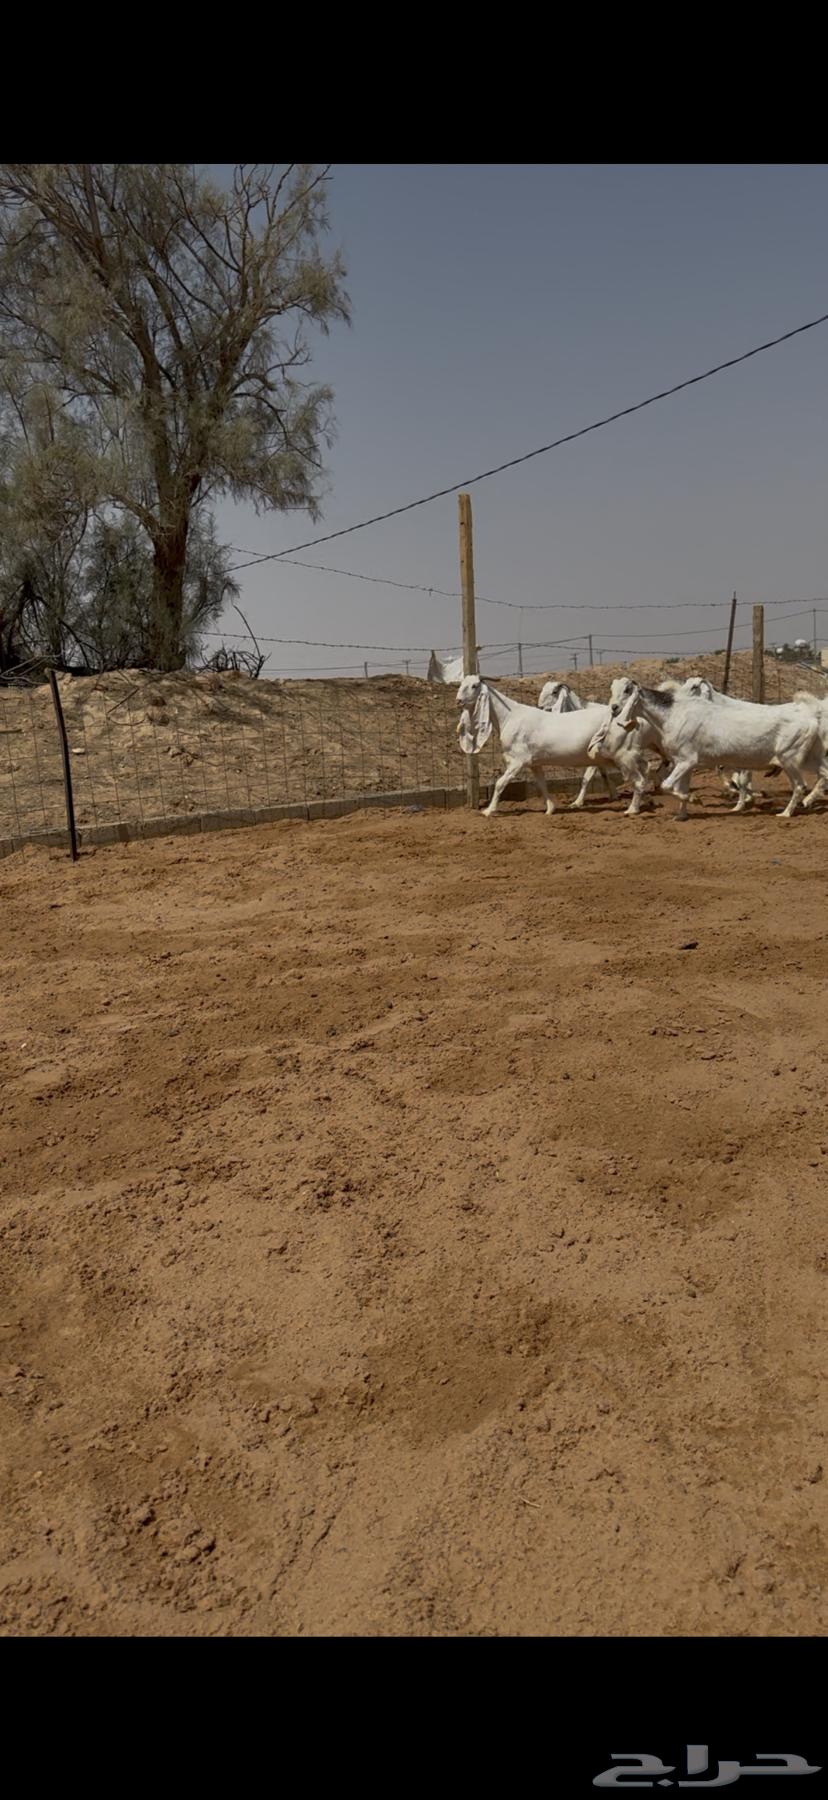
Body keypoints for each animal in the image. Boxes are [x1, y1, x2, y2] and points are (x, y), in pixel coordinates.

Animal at [456, 674, 651, 817]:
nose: (458, 701)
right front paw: (550, 809)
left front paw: (488, 811)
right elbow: (542, 785)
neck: (510, 716)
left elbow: (500, 783)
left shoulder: (517, 761)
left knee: (639, 780)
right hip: (628, 755)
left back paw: (632, 809)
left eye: (474, 686)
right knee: (646, 768)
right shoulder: (534, 764)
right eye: (462, 684)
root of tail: (633, 718)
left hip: (624, 756)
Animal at [595, 679, 828, 820]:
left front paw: (695, 800)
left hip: (789, 760)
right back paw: (806, 802)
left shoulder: (687, 761)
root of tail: (811, 717)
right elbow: (679, 787)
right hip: (810, 758)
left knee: (800, 786)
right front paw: (681, 815)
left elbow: (668, 786)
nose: (614, 709)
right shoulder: (684, 763)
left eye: (627, 690)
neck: (672, 715)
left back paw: (786, 813)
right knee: (821, 775)